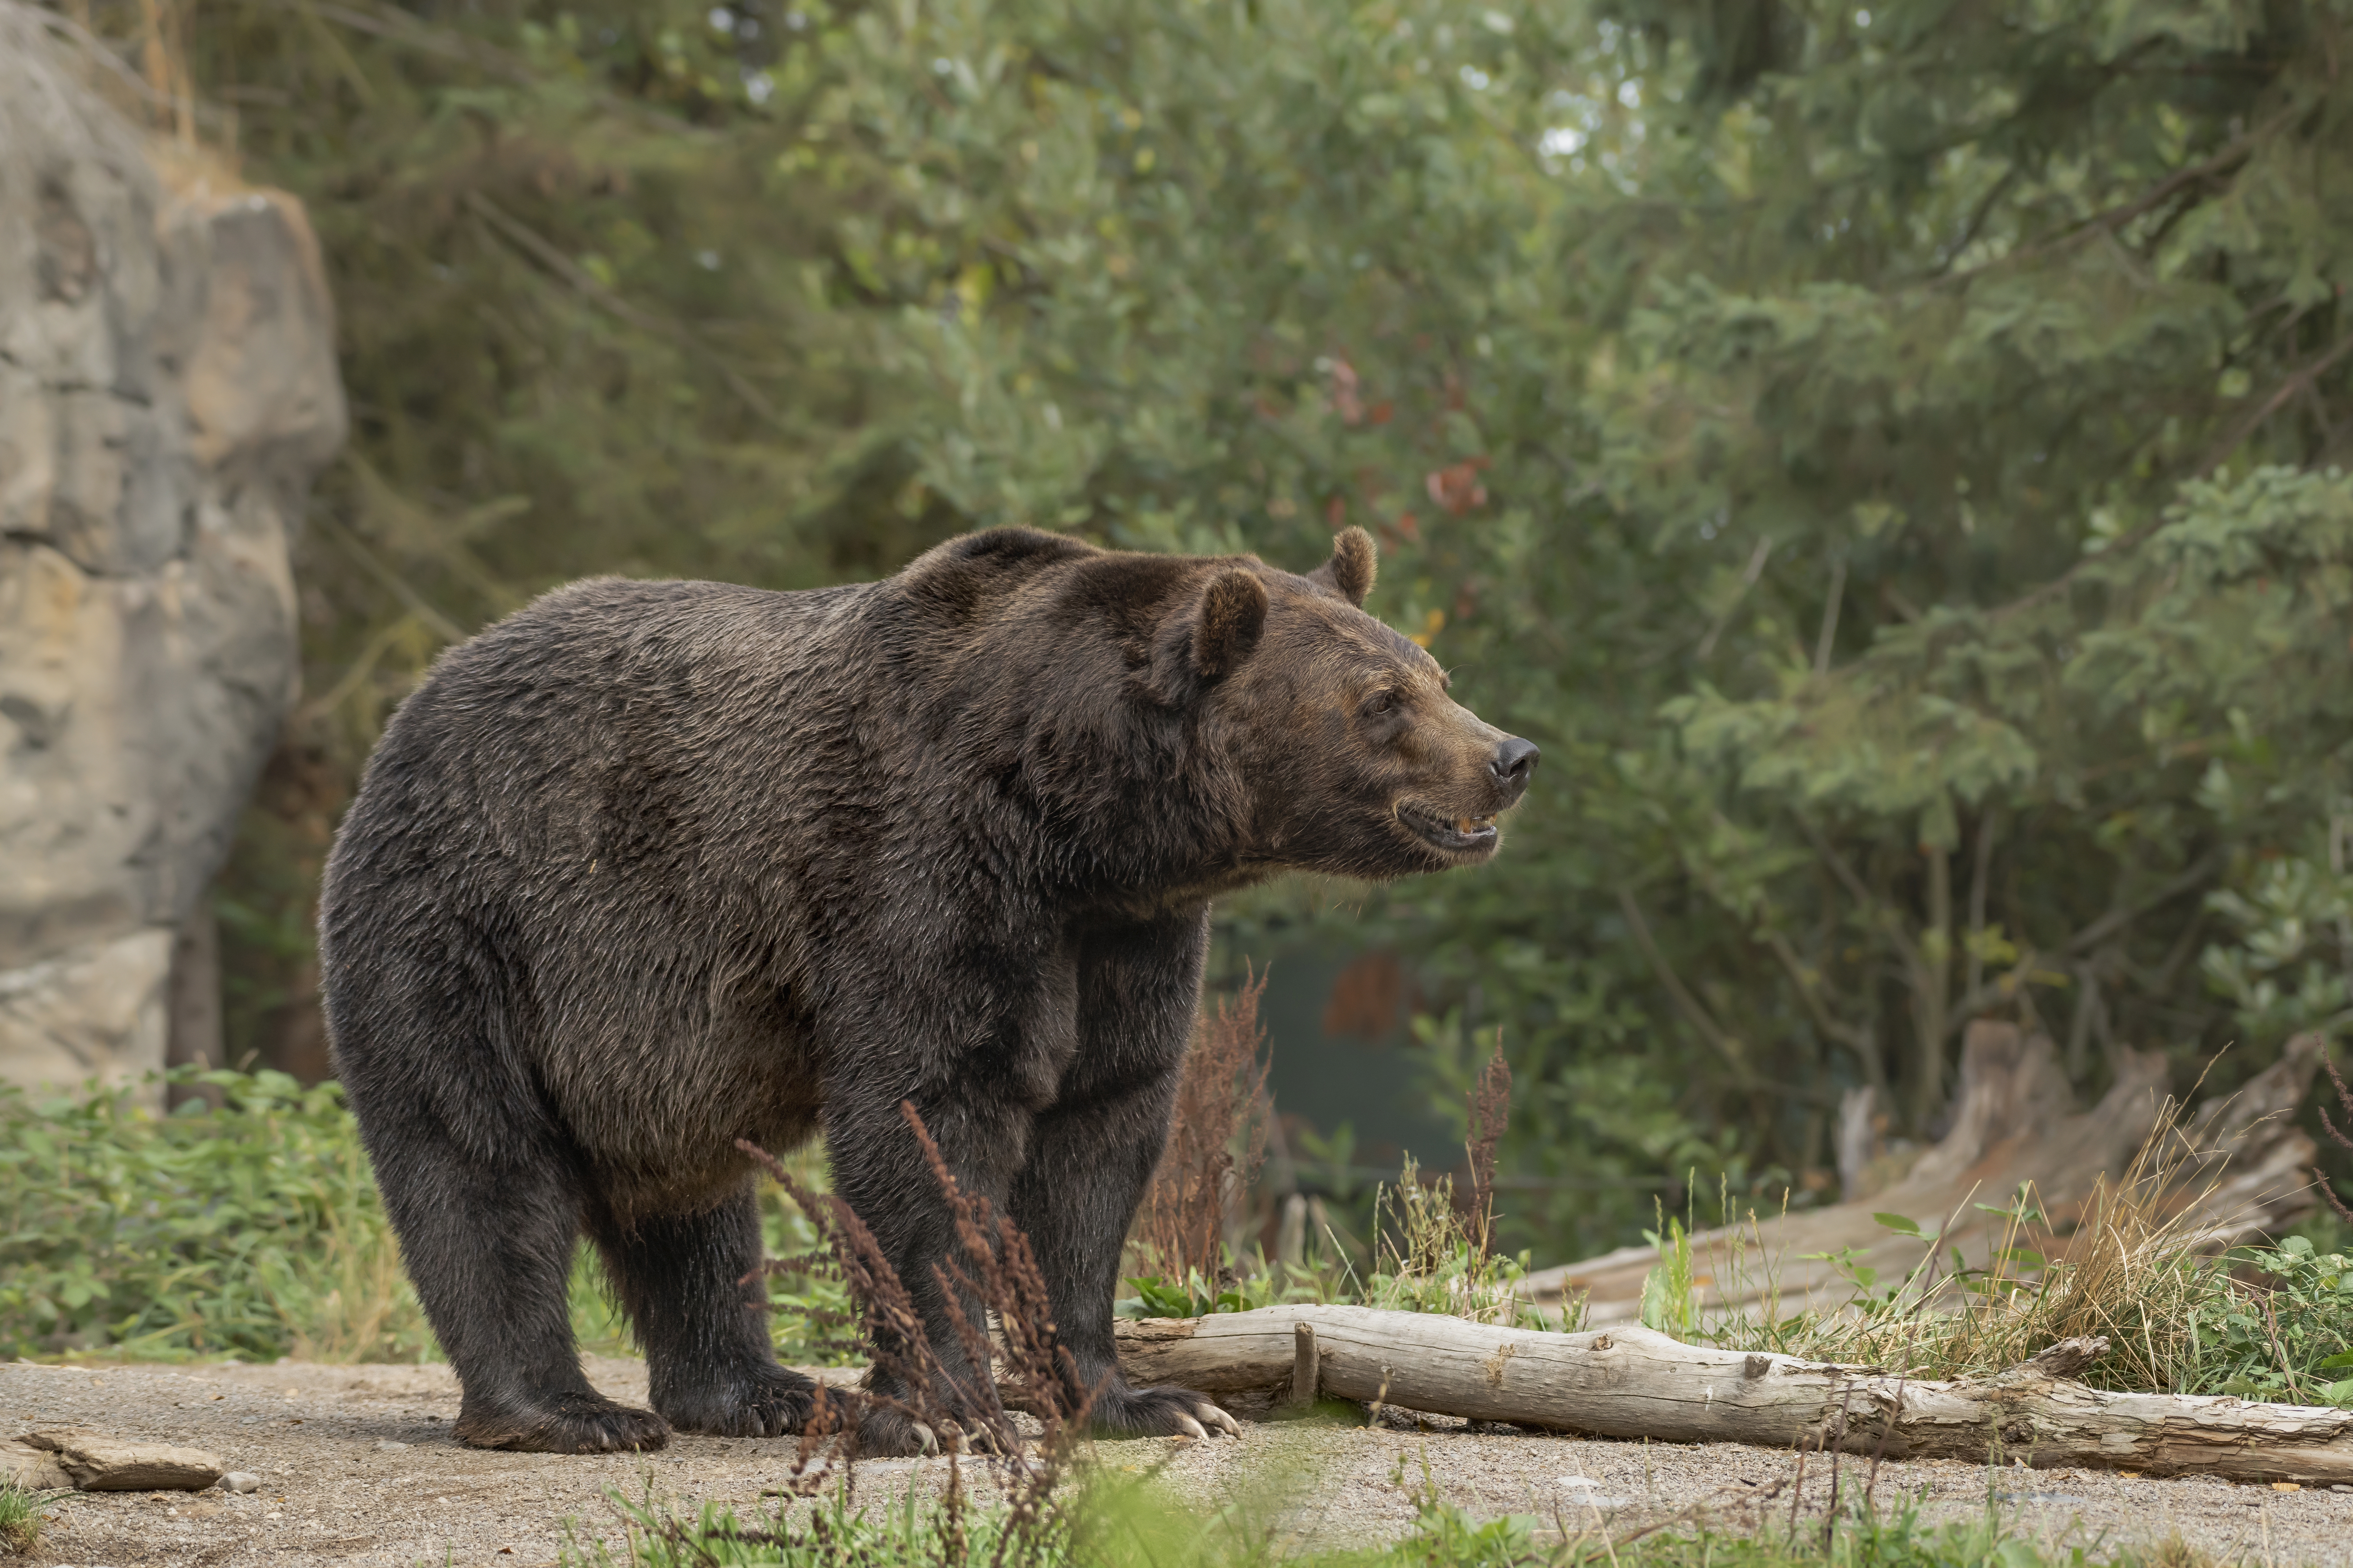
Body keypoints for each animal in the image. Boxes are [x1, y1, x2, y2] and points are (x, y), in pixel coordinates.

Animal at [317, 525, 1536, 1455]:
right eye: (1382, 698)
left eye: (1435, 672)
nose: (1510, 754)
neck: (1078, 822)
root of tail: (414, 703)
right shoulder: (923, 869)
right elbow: (929, 1121)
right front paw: (948, 1408)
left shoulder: (1125, 938)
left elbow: (1098, 1140)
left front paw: (1147, 1399)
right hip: (473, 924)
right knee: (479, 1157)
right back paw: (567, 1411)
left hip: (648, 1043)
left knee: (694, 1204)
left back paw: (762, 1387)